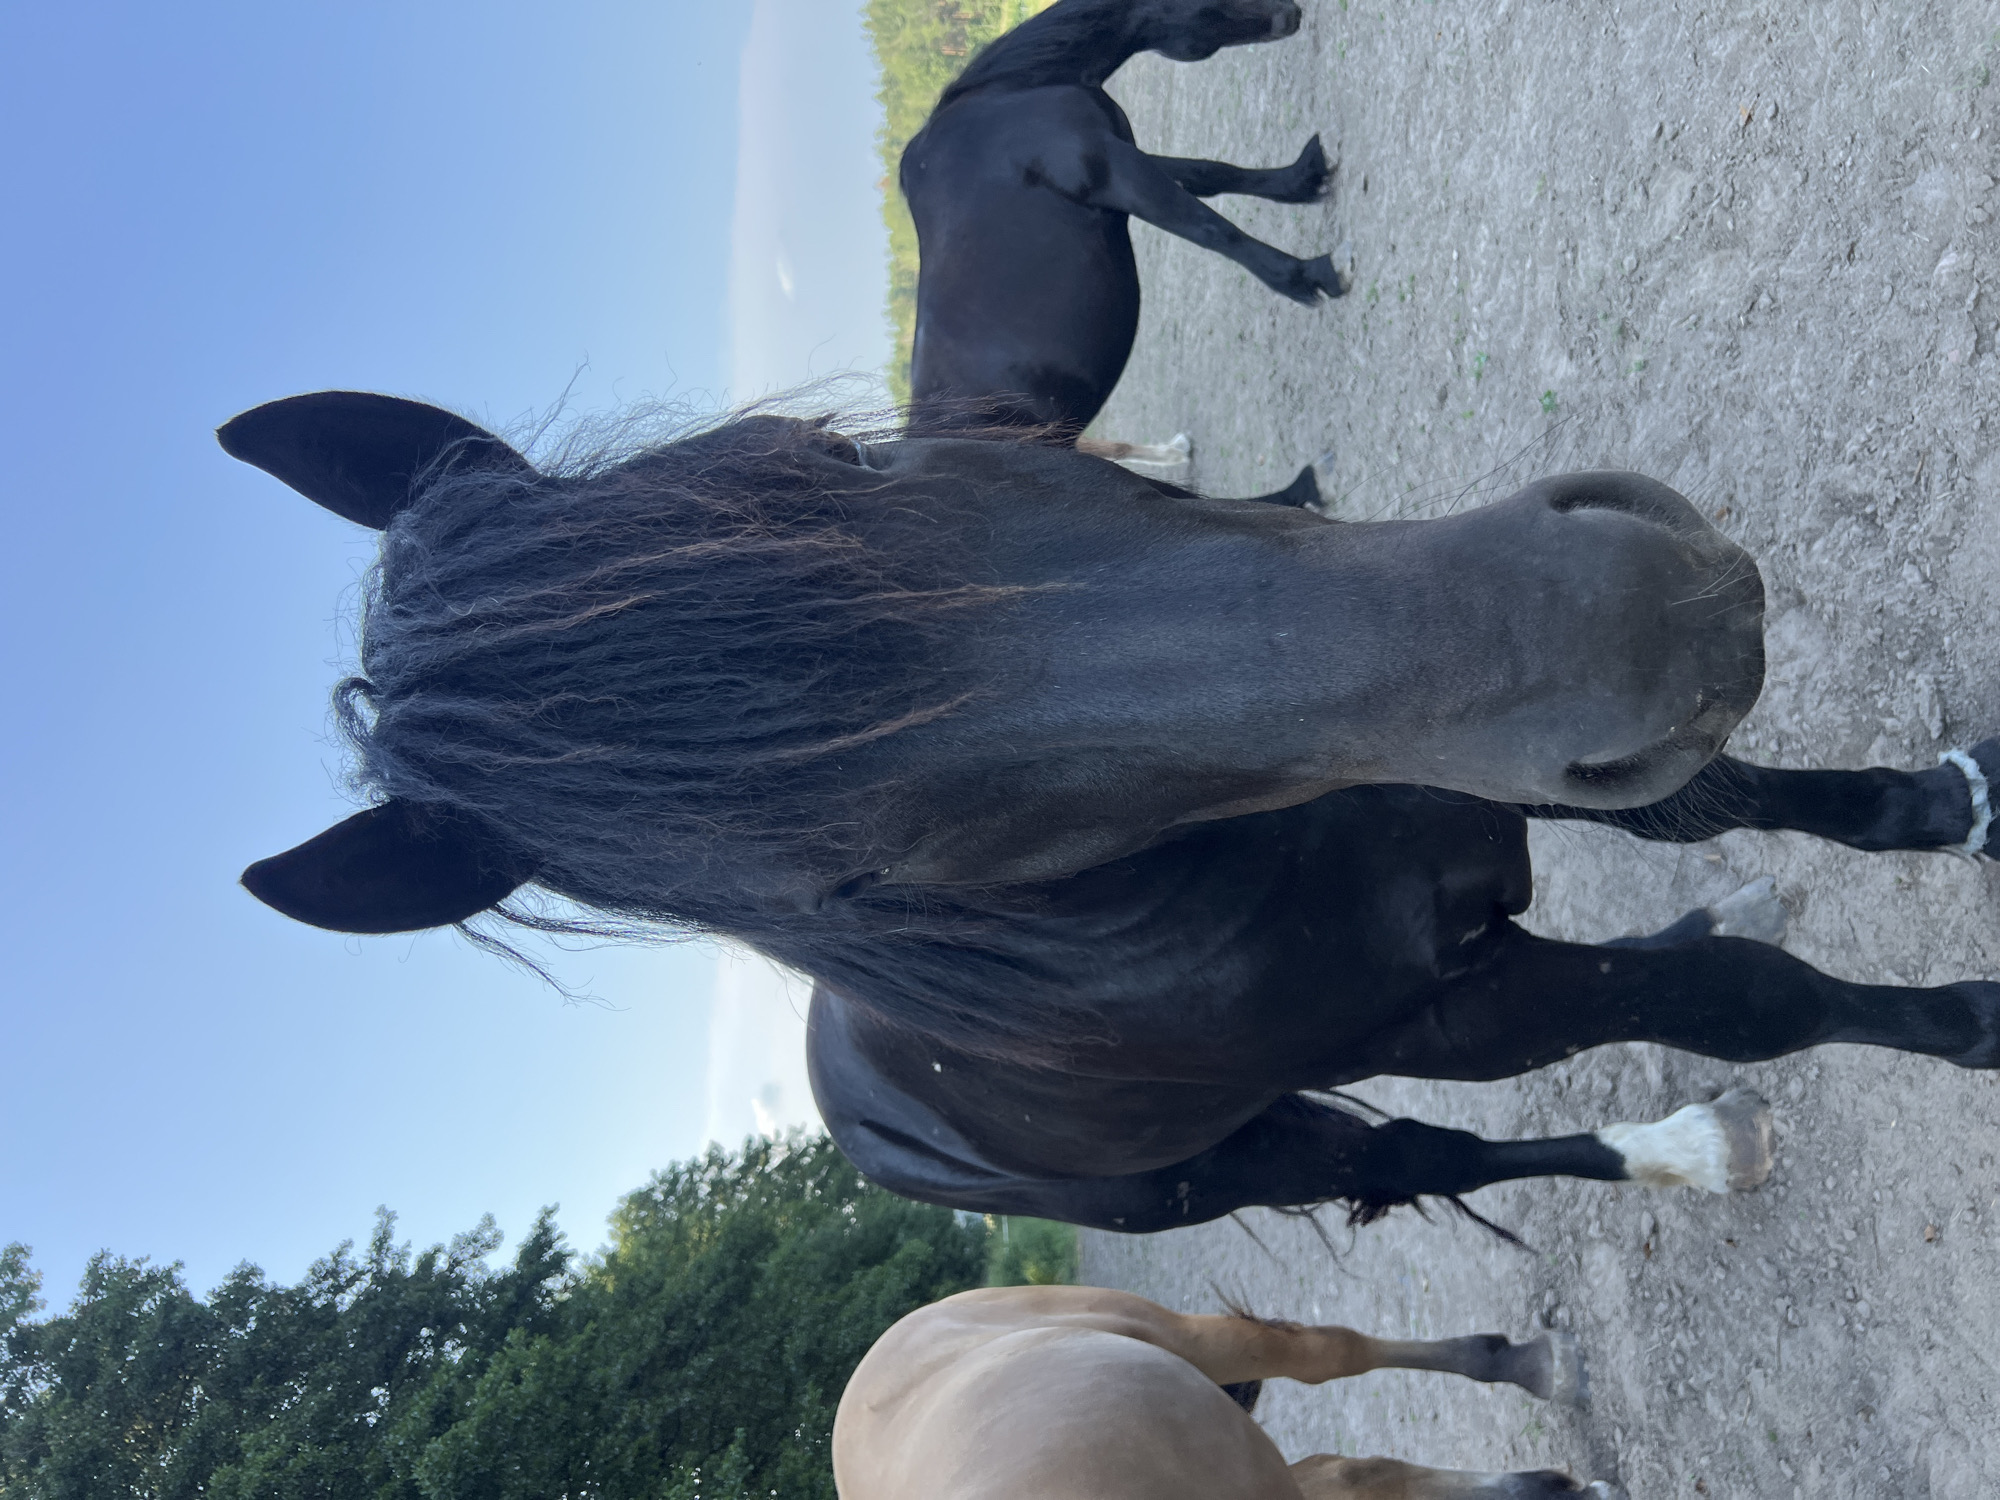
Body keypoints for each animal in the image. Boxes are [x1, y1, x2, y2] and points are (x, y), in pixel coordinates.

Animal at [222, 393, 2000, 1236]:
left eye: (831, 466)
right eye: (859, 877)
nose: (1641, 616)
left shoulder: (1457, 762)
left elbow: (1699, 815)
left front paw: (1945, 805)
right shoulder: (1457, 1006)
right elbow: (1742, 1004)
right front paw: (1967, 1024)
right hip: (1219, 1165)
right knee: (1418, 1157)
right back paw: (1689, 1150)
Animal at [903, 0, 1340, 507]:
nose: (1291, 15)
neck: (1010, 94)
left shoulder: (1124, 146)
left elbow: (1211, 173)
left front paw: (1302, 178)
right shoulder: (1110, 167)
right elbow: (1210, 228)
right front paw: (1308, 276)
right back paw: (1303, 485)